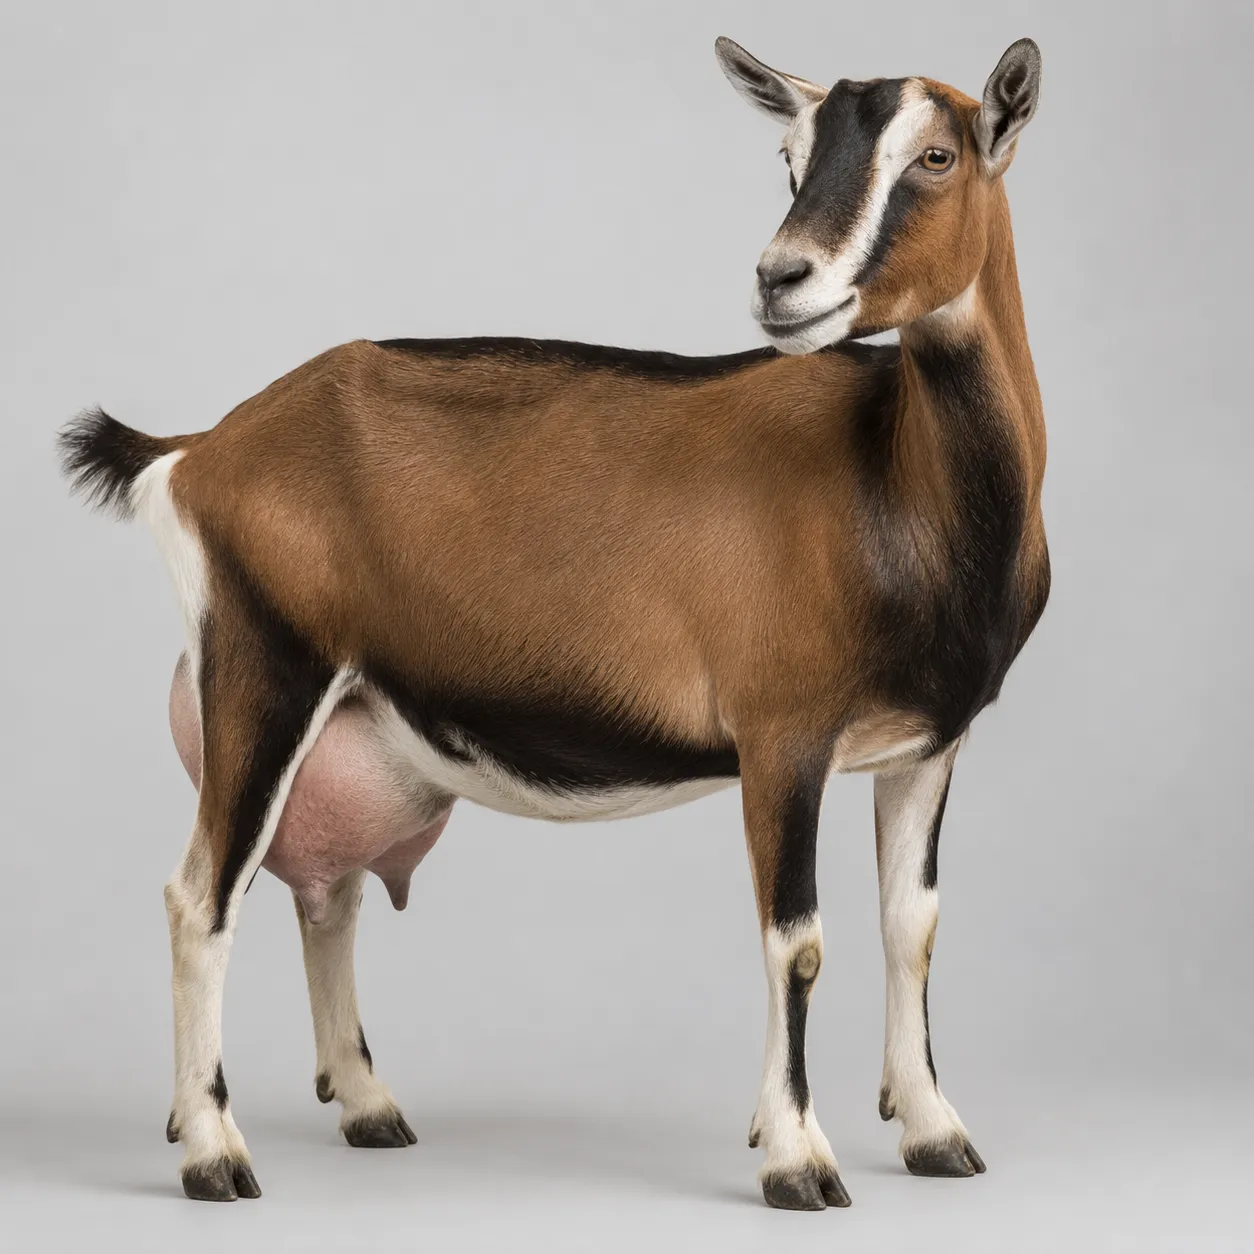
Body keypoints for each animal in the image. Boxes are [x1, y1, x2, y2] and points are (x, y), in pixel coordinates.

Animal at [58, 36, 1048, 1210]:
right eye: (788, 155)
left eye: (938, 154)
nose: (782, 279)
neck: (895, 484)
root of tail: (199, 449)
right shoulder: (783, 738)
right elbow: (797, 941)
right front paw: (799, 1159)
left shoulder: (928, 746)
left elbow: (913, 927)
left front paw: (935, 1132)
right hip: (263, 672)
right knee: (200, 897)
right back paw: (215, 1153)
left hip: (343, 717)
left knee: (327, 898)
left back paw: (364, 1106)